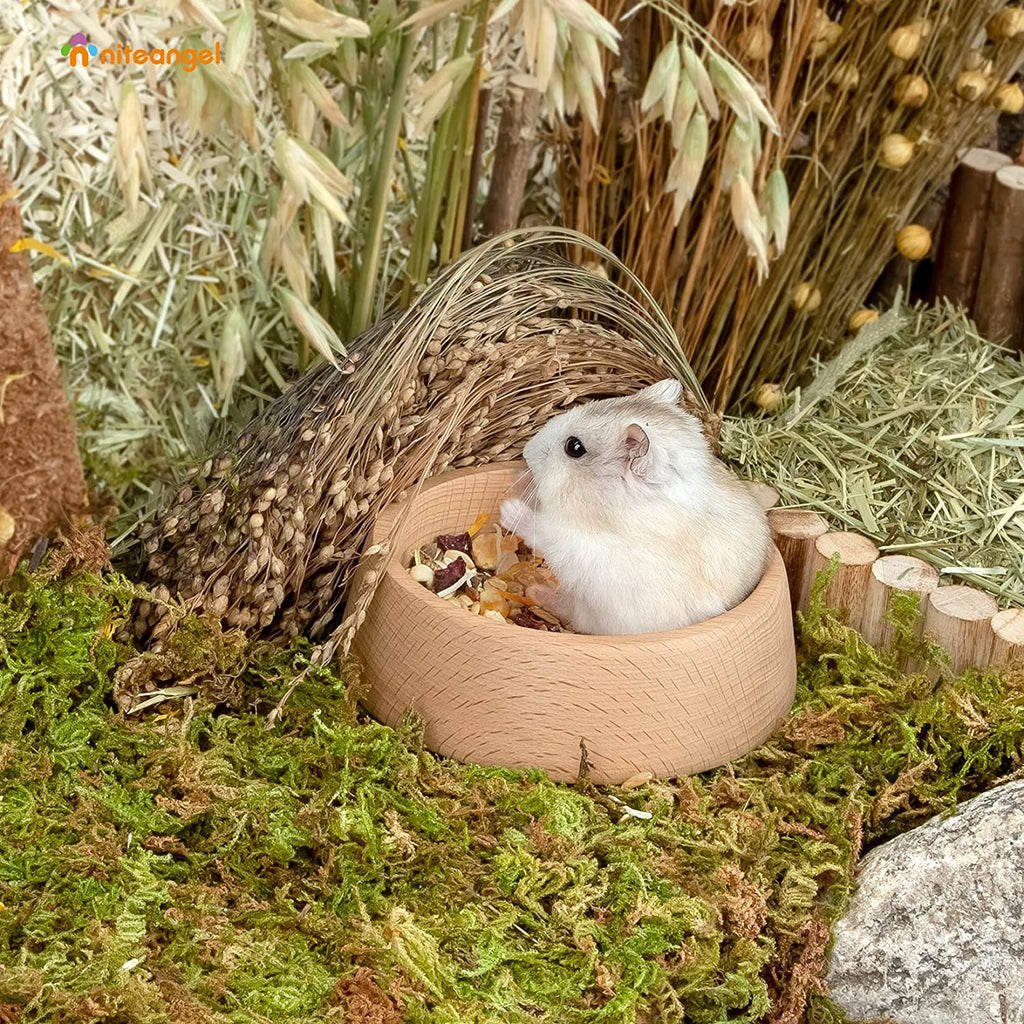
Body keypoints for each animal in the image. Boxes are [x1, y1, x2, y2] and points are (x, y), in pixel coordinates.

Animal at [499, 379, 772, 636]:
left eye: (574, 448)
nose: (525, 452)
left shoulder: (592, 553)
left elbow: (549, 534)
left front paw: (508, 508)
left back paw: (536, 589)